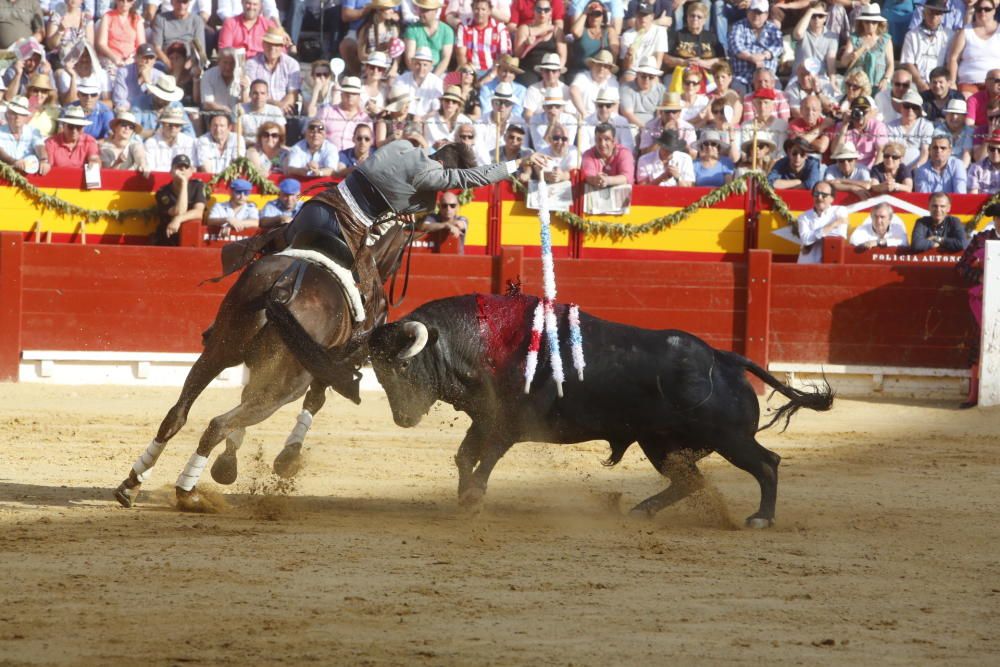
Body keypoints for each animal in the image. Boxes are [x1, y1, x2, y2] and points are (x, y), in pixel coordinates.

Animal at [115, 224, 412, 512]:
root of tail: (283, 286)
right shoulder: (327, 368)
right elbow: (314, 401)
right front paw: (286, 460)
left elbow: (246, 398)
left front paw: (227, 463)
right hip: (288, 385)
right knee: (219, 423)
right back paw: (189, 493)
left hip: (218, 351)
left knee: (177, 414)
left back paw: (132, 485)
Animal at [370, 294, 836, 528]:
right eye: (379, 370)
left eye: (404, 365)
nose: (403, 419)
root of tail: (724, 359)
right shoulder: (484, 420)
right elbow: (465, 456)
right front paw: (465, 500)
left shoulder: (507, 424)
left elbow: (485, 459)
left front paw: (472, 498)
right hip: (660, 444)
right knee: (691, 481)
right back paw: (642, 511)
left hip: (730, 438)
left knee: (767, 463)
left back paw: (761, 518)